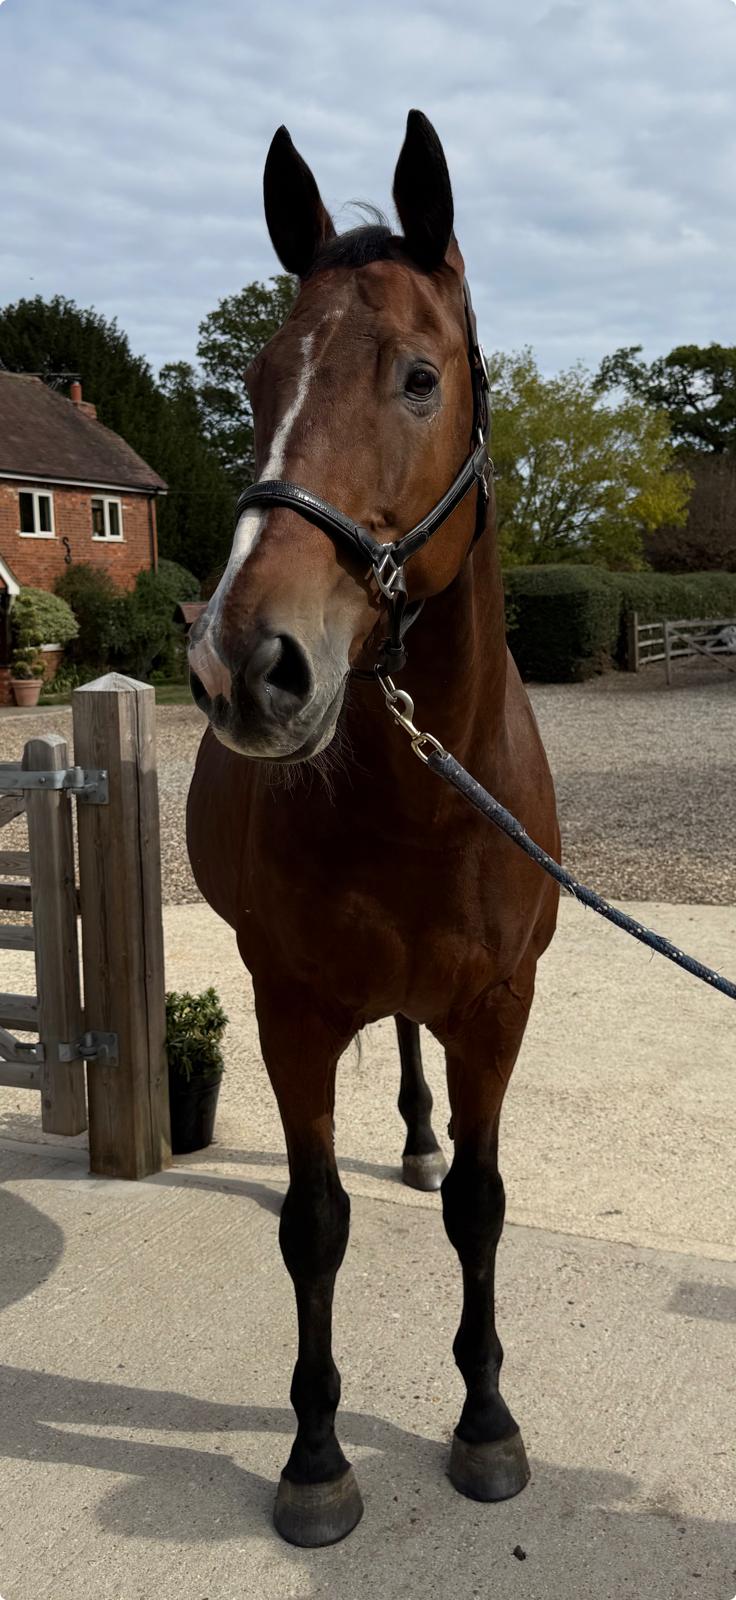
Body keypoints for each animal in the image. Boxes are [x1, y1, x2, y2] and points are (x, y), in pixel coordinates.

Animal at [186, 109, 560, 1548]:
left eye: (416, 376)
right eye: (255, 378)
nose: (246, 663)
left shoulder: (498, 1008)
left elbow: (480, 1206)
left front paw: (487, 1424)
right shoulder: (288, 1008)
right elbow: (312, 1223)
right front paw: (313, 1456)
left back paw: (413, 1130)